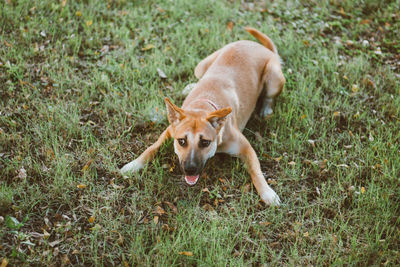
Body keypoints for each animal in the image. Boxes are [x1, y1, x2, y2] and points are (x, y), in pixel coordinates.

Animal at [120, 27, 286, 206]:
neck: (202, 107)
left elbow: (256, 170)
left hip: (274, 77)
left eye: (205, 142)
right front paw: (133, 165)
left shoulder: (246, 148)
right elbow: (151, 148)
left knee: (269, 96)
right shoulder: (169, 131)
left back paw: (266, 109)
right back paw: (189, 86)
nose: (190, 169)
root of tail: (261, 47)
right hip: (201, 65)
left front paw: (267, 192)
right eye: (181, 141)